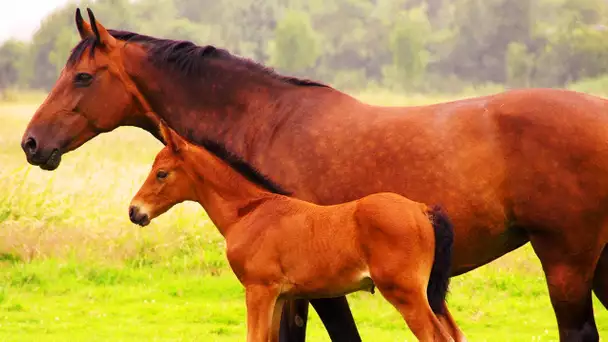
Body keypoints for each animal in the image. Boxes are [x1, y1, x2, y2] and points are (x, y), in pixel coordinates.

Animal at [131, 120, 458, 342]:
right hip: (428, 294)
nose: (135, 211)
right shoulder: (279, 296)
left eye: (162, 173)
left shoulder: (259, 290)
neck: (250, 211)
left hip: (406, 293)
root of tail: (421, 209)